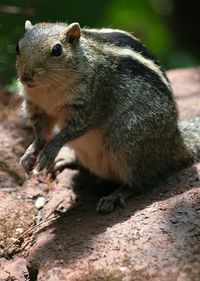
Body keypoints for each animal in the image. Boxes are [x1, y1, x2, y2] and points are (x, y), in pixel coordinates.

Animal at [16, 20, 200, 212]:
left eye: (57, 50)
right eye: (17, 47)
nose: (26, 76)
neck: (48, 90)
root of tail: (178, 143)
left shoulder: (91, 105)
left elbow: (69, 131)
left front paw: (50, 150)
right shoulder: (37, 108)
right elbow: (40, 133)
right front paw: (29, 153)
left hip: (129, 141)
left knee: (142, 182)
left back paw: (116, 196)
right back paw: (67, 158)